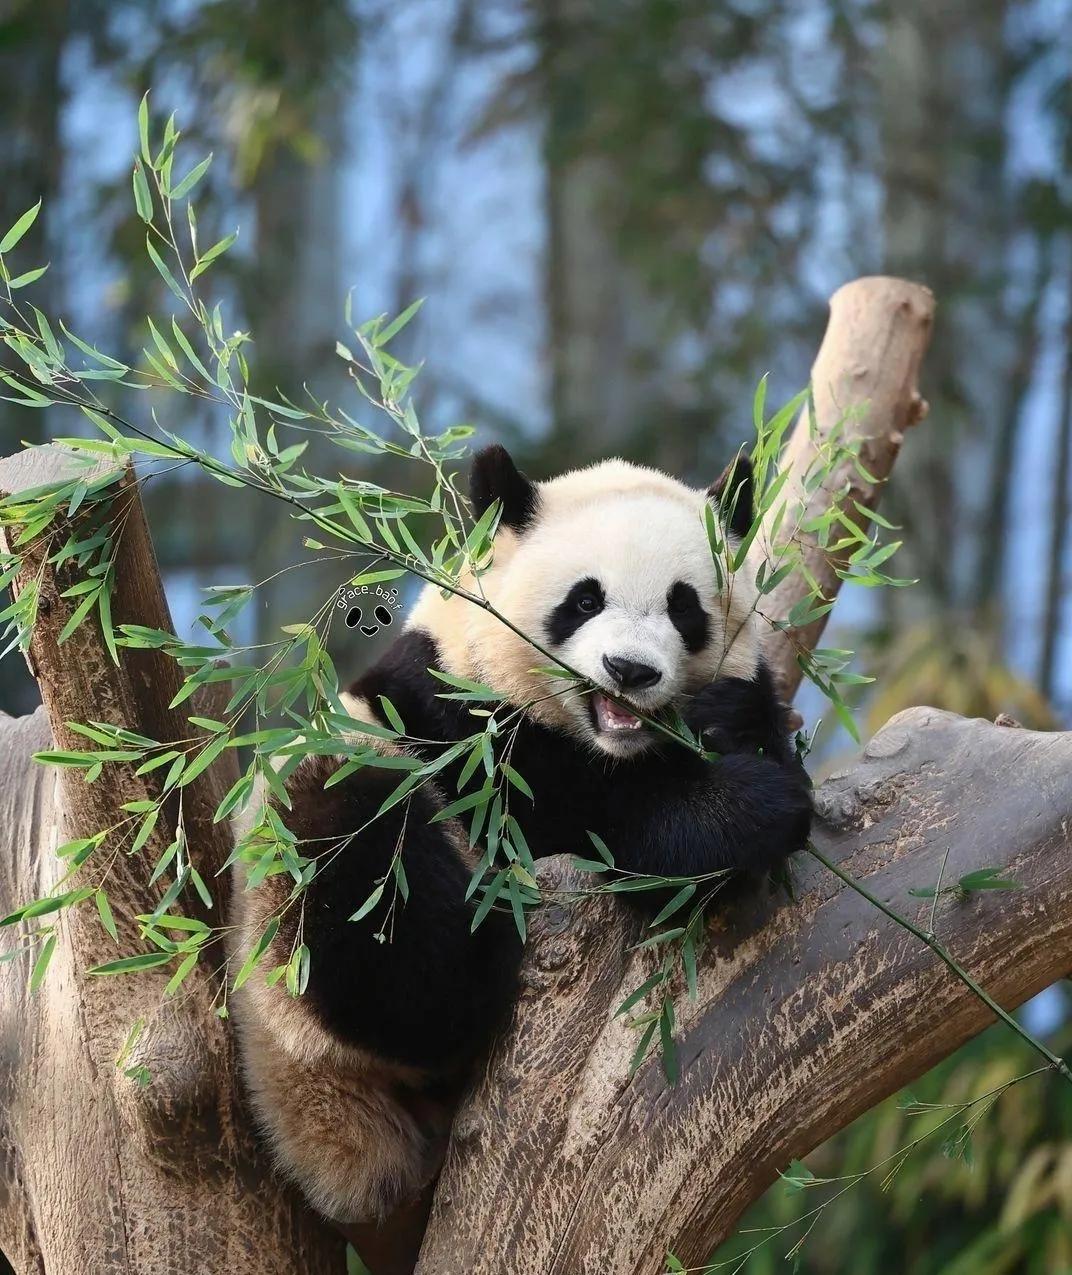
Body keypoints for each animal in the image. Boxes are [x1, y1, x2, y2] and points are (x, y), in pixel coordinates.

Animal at [229, 451, 805, 1234]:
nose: (630, 671)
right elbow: (593, 820)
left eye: (684, 606)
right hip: (301, 968)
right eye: (584, 600)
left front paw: (732, 724)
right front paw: (750, 809)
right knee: (365, 885)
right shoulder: (463, 729)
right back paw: (488, 953)